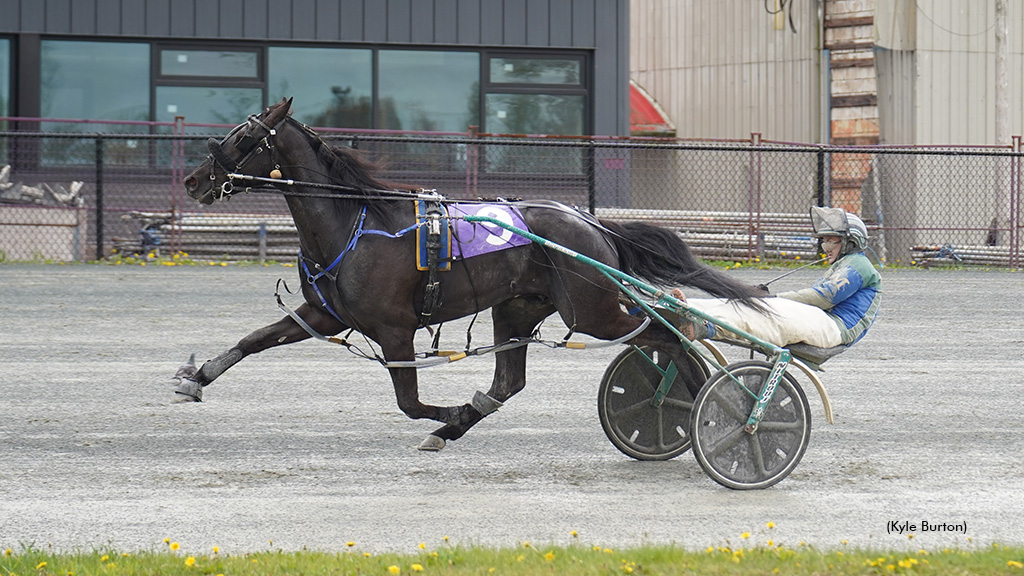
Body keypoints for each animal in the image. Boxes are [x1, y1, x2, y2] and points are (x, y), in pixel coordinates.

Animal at [182, 97, 761, 448]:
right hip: (519, 307)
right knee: (510, 381)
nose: (194, 180)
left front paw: (450, 415)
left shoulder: (394, 328)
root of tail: (592, 222)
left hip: (592, 309)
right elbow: (257, 338)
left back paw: (721, 405)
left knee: (671, 331)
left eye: (242, 138)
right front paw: (196, 377)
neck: (355, 222)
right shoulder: (326, 314)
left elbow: (410, 402)